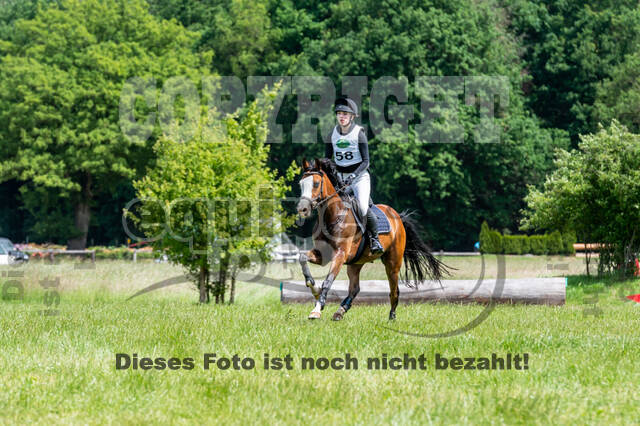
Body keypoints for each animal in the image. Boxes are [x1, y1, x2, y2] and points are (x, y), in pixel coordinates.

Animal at [296, 158, 450, 320]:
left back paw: (392, 316)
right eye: (301, 184)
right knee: (355, 288)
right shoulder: (323, 255)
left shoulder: (340, 254)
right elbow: (302, 258)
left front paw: (317, 310)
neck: (332, 216)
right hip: (356, 263)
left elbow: (328, 281)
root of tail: (398, 217)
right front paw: (314, 290)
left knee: (394, 289)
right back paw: (340, 311)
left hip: (393, 262)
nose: (302, 209)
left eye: (316, 183)